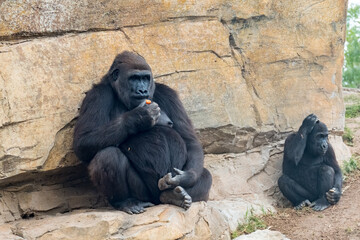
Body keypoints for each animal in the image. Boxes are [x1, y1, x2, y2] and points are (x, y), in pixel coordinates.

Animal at [74, 51, 214, 214]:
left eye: (145, 78)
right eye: (134, 78)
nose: (143, 90)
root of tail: (156, 201)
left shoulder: (168, 94)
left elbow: (190, 140)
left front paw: (185, 177)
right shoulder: (97, 95)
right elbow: (83, 141)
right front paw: (139, 117)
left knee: (205, 175)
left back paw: (173, 196)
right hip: (145, 195)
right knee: (108, 156)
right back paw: (127, 201)